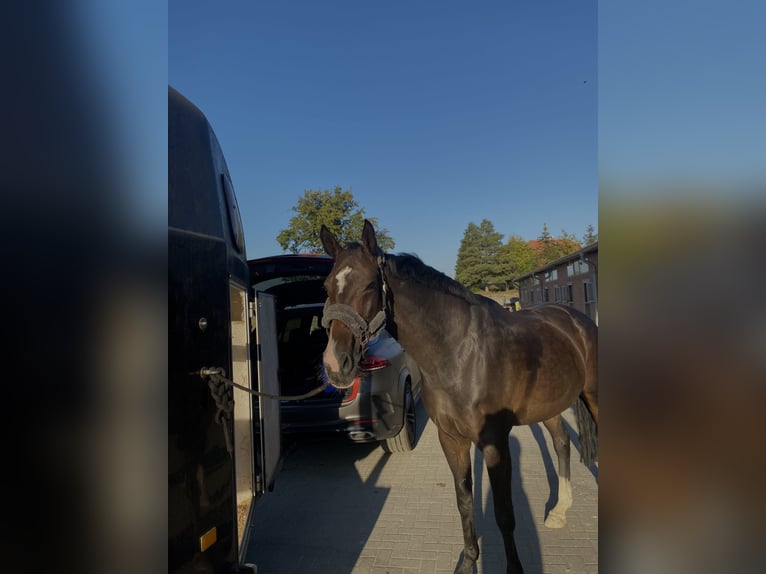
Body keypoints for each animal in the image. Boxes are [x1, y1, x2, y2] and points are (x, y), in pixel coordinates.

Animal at [318, 222, 600, 574]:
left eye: (370, 284)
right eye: (327, 286)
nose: (335, 364)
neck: (459, 353)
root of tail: (578, 320)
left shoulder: (494, 443)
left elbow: (504, 514)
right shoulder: (451, 439)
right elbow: (464, 501)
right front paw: (468, 563)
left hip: (593, 395)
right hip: (549, 404)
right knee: (562, 443)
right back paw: (560, 511)